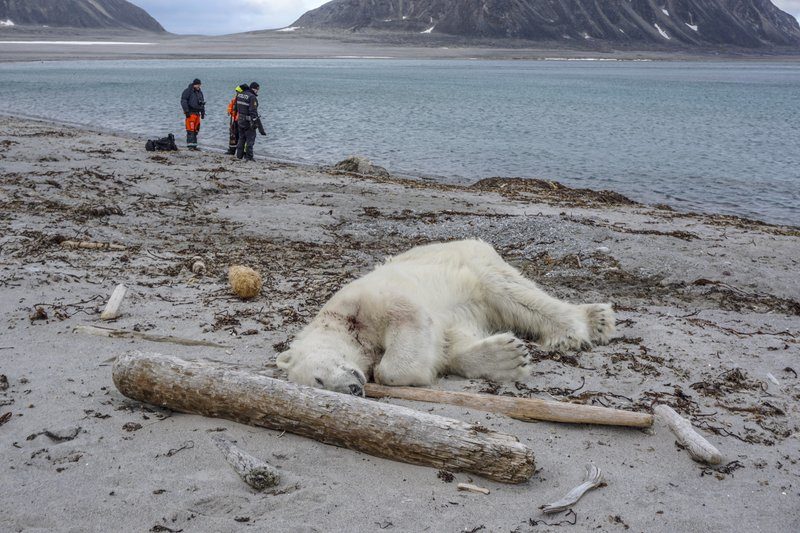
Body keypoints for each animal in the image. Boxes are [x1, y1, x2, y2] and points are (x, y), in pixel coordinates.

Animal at [277, 239, 615, 395]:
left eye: (318, 379)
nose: (353, 388)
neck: (342, 323)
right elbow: (450, 343)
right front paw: (507, 357)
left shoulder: (365, 300)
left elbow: (407, 322)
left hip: (474, 264)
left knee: (513, 294)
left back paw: (583, 326)